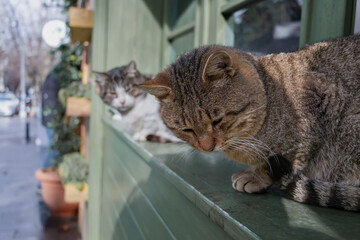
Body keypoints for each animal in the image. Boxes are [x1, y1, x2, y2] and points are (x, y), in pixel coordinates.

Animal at [138, 35, 360, 212]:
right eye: (187, 129)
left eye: (217, 121)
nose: (207, 148)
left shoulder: (315, 113)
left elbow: (291, 160)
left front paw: (258, 176)